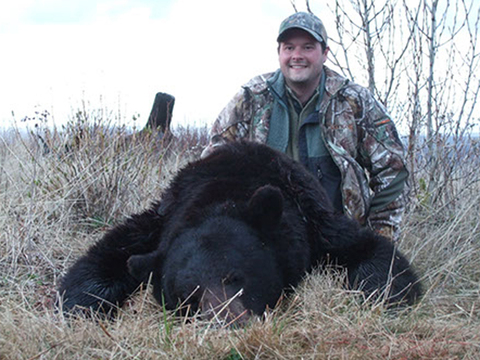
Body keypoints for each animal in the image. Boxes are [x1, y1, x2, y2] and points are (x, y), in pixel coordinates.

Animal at [59, 141, 420, 324]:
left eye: (235, 276)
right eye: (187, 296)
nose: (225, 321)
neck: (225, 190)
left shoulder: (314, 221)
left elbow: (373, 254)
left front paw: (384, 297)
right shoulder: (157, 223)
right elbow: (103, 261)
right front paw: (82, 307)